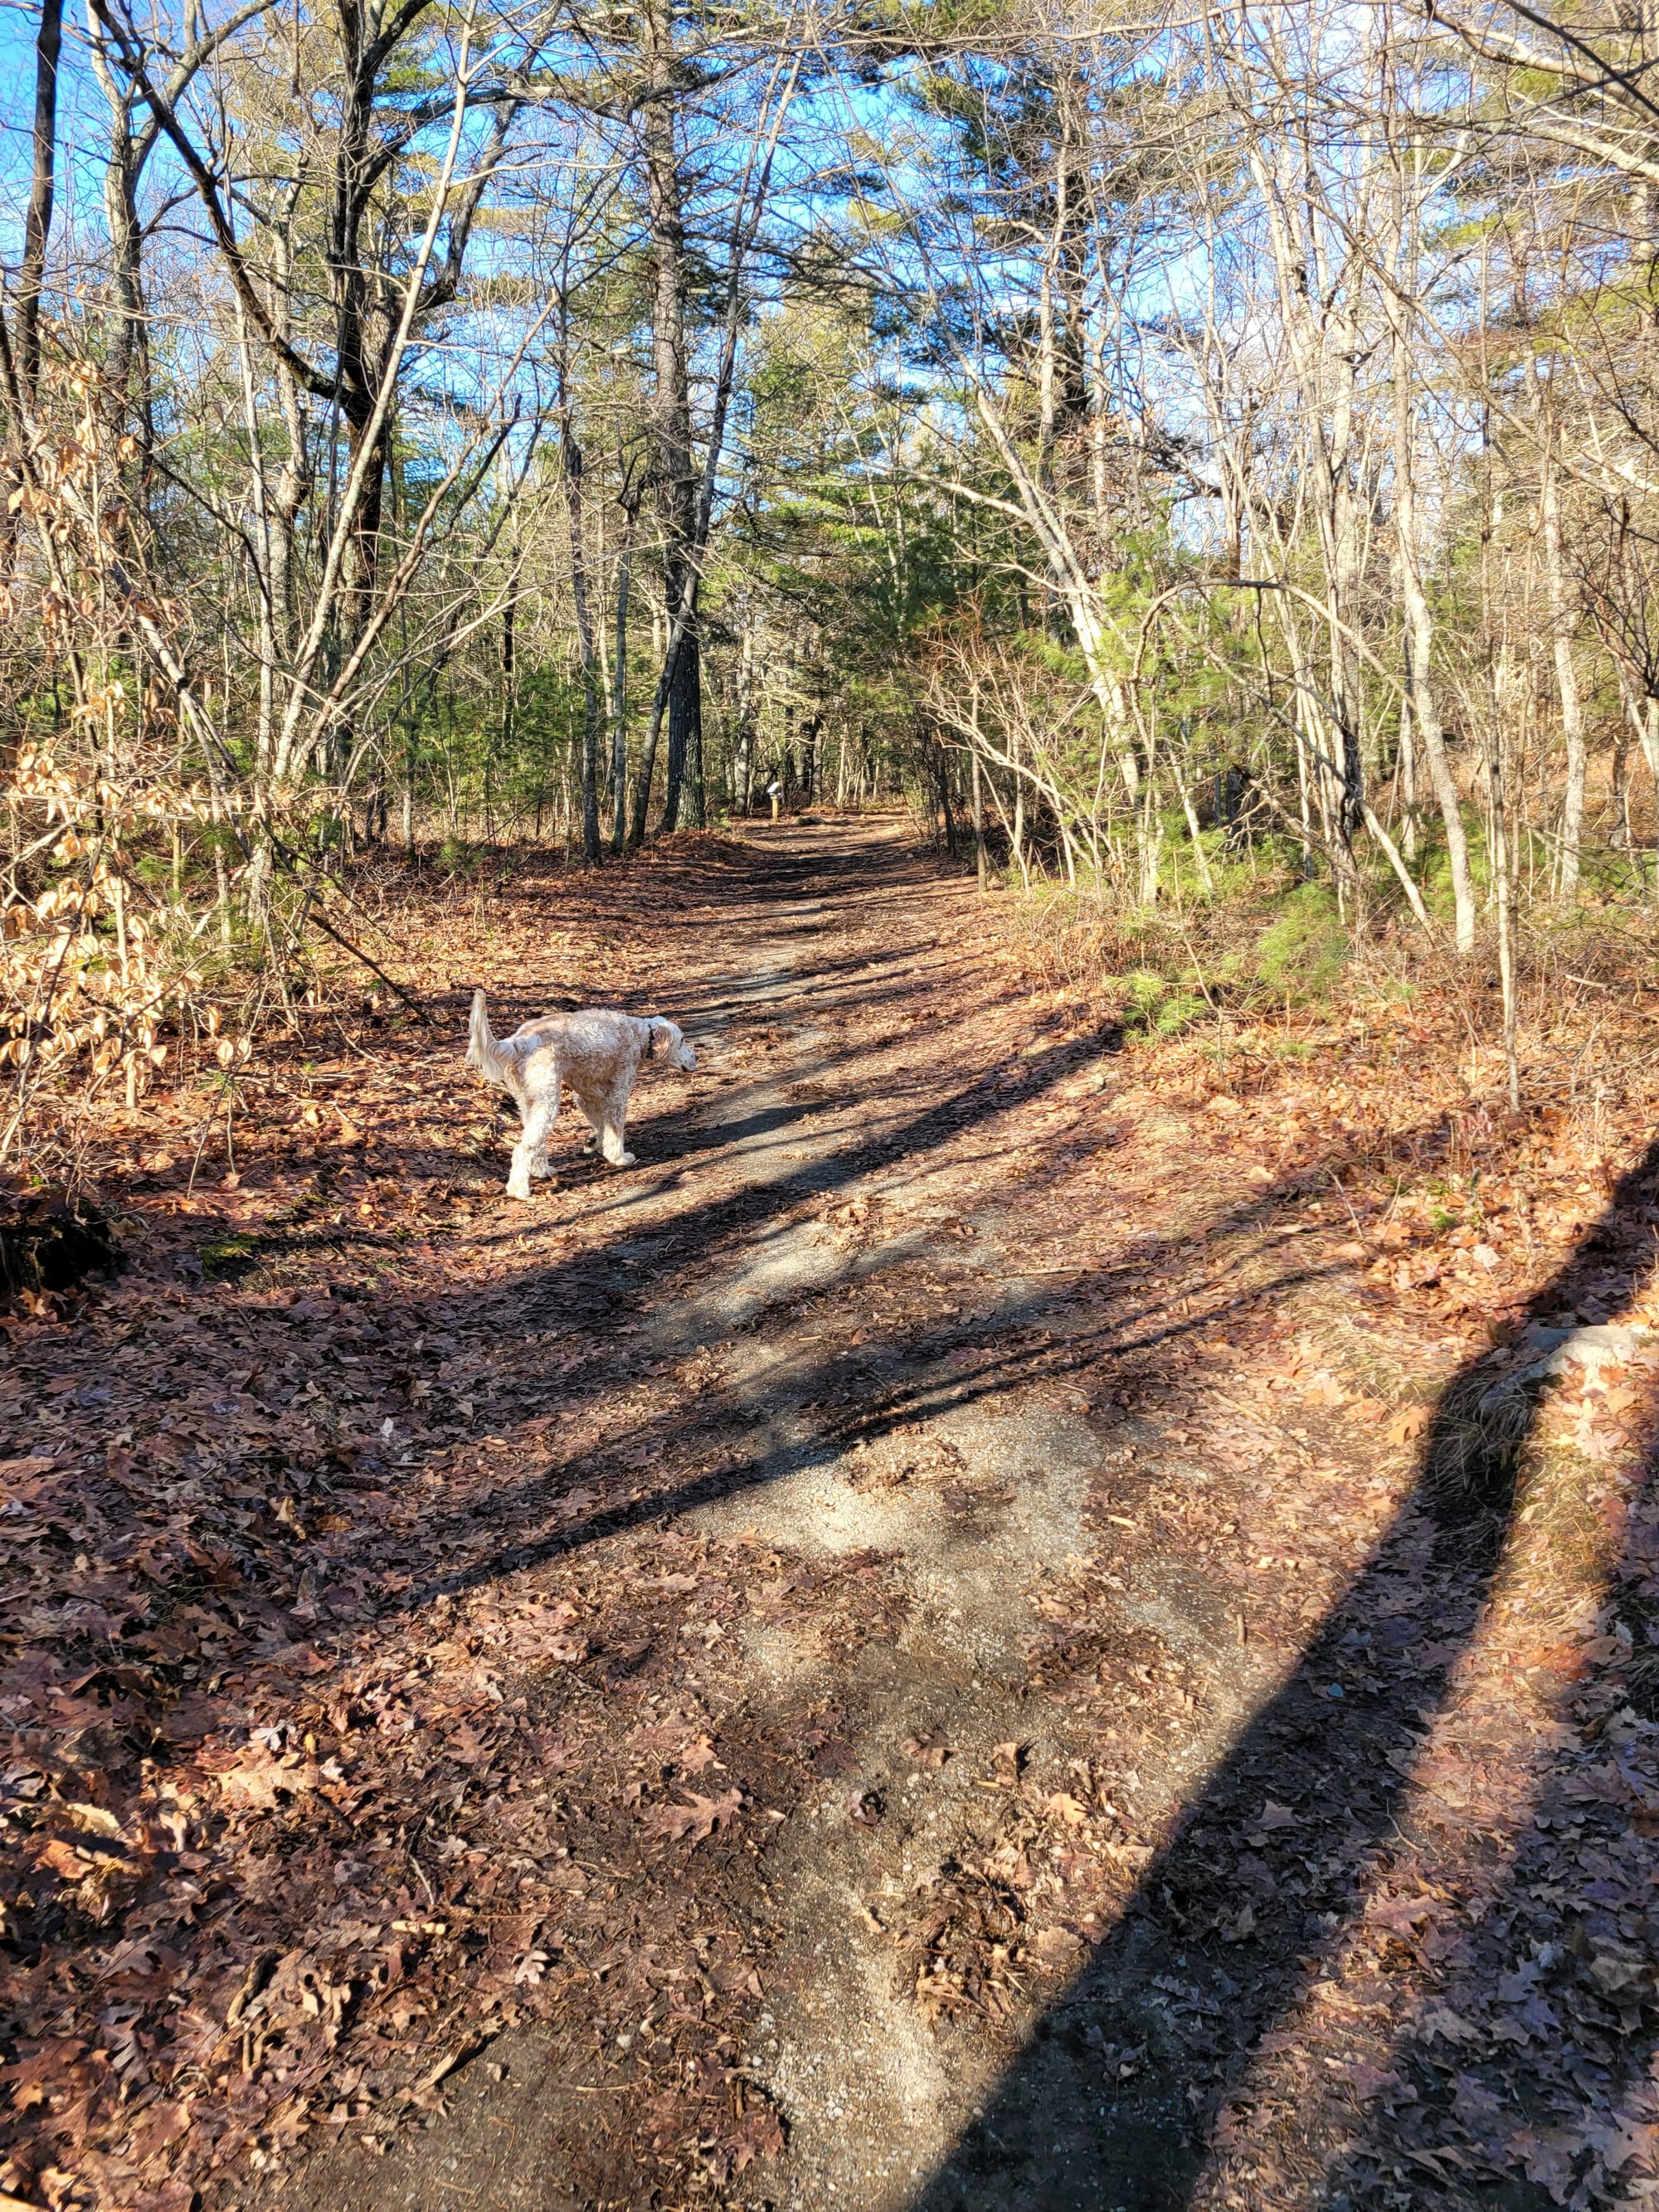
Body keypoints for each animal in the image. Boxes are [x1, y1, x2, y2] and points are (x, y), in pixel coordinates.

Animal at [469, 995, 703, 1203]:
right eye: (682, 1041)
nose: (696, 1058)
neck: (640, 1035)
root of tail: (519, 1041)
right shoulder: (617, 1096)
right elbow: (615, 1131)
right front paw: (619, 1158)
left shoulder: (587, 1096)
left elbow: (601, 1126)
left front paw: (596, 1143)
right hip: (547, 1102)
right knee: (523, 1149)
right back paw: (519, 1190)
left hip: (530, 1103)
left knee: (535, 1143)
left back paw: (542, 1170)